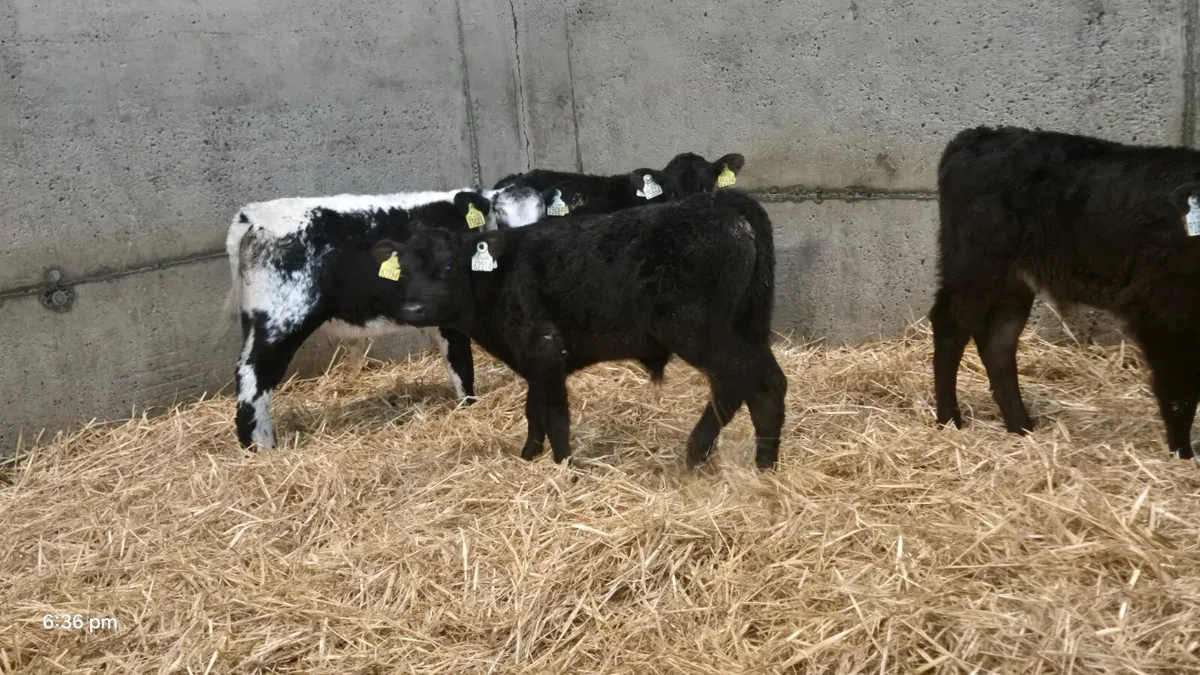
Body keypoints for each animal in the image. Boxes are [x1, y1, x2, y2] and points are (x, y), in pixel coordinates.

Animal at [225, 185, 548, 449]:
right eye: (503, 221)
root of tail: (253, 215)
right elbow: (461, 364)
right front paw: (470, 407)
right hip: (282, 318)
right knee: (254, 376)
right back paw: (262, 447)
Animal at [363, 188, 787, 469]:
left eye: (449, 267)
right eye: (403, 271)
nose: (413, 308)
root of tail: (722, 202)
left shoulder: (544, 346)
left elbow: (554, 414)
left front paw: (563, 465)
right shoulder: (533, 359)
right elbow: (533, 409)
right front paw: (528, 457)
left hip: (695, 328)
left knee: (747, 382)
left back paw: (704, 453)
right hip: (747, 322)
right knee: (756, 383)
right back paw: (761, 461)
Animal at [930, 125, 1200, 461]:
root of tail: (974, 136)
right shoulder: (1165, 309)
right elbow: (1180, 391)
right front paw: (1183, 454)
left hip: (1013, 279)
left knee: (998, 341)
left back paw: (1021, 426)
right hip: (974, 263)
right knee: (950, 327)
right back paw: (949, 419)